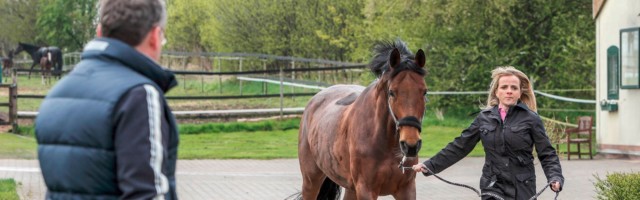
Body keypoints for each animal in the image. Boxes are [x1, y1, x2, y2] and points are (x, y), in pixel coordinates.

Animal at [298, 39, 428, 199]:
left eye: (424, 92)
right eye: (392, 92)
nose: (410, 145)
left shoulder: (407, 189)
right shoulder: (366, 189)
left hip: (350, 188)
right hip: (311, 180)